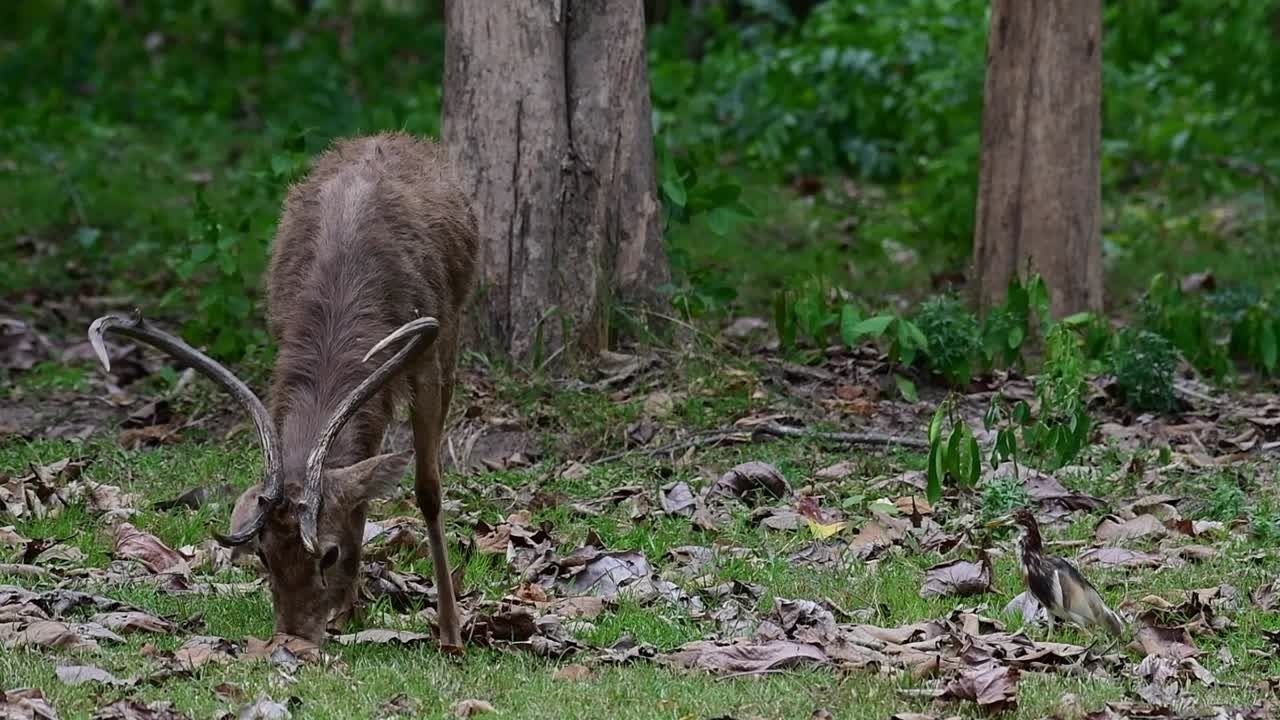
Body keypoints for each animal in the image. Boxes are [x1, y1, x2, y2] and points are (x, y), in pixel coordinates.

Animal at [88, 131, 478, 652]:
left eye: (328, 554)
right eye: (264, 554)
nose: (293, 640)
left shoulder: (428, 352)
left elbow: (428, 489)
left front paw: (451, 633)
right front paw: (348, 609)